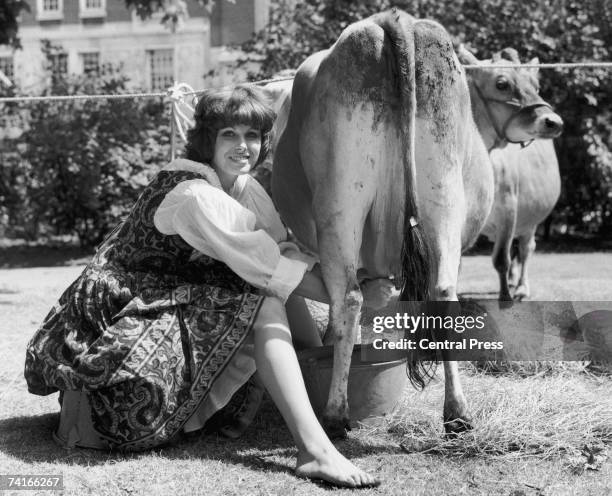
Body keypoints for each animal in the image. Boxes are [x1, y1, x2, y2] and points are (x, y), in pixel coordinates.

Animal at [480, 140, 560, 302]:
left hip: (529, 220)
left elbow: (501, 259)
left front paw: (505, 297)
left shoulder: (508, 209)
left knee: (526, 249)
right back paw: (511, 281)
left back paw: (522, 288)